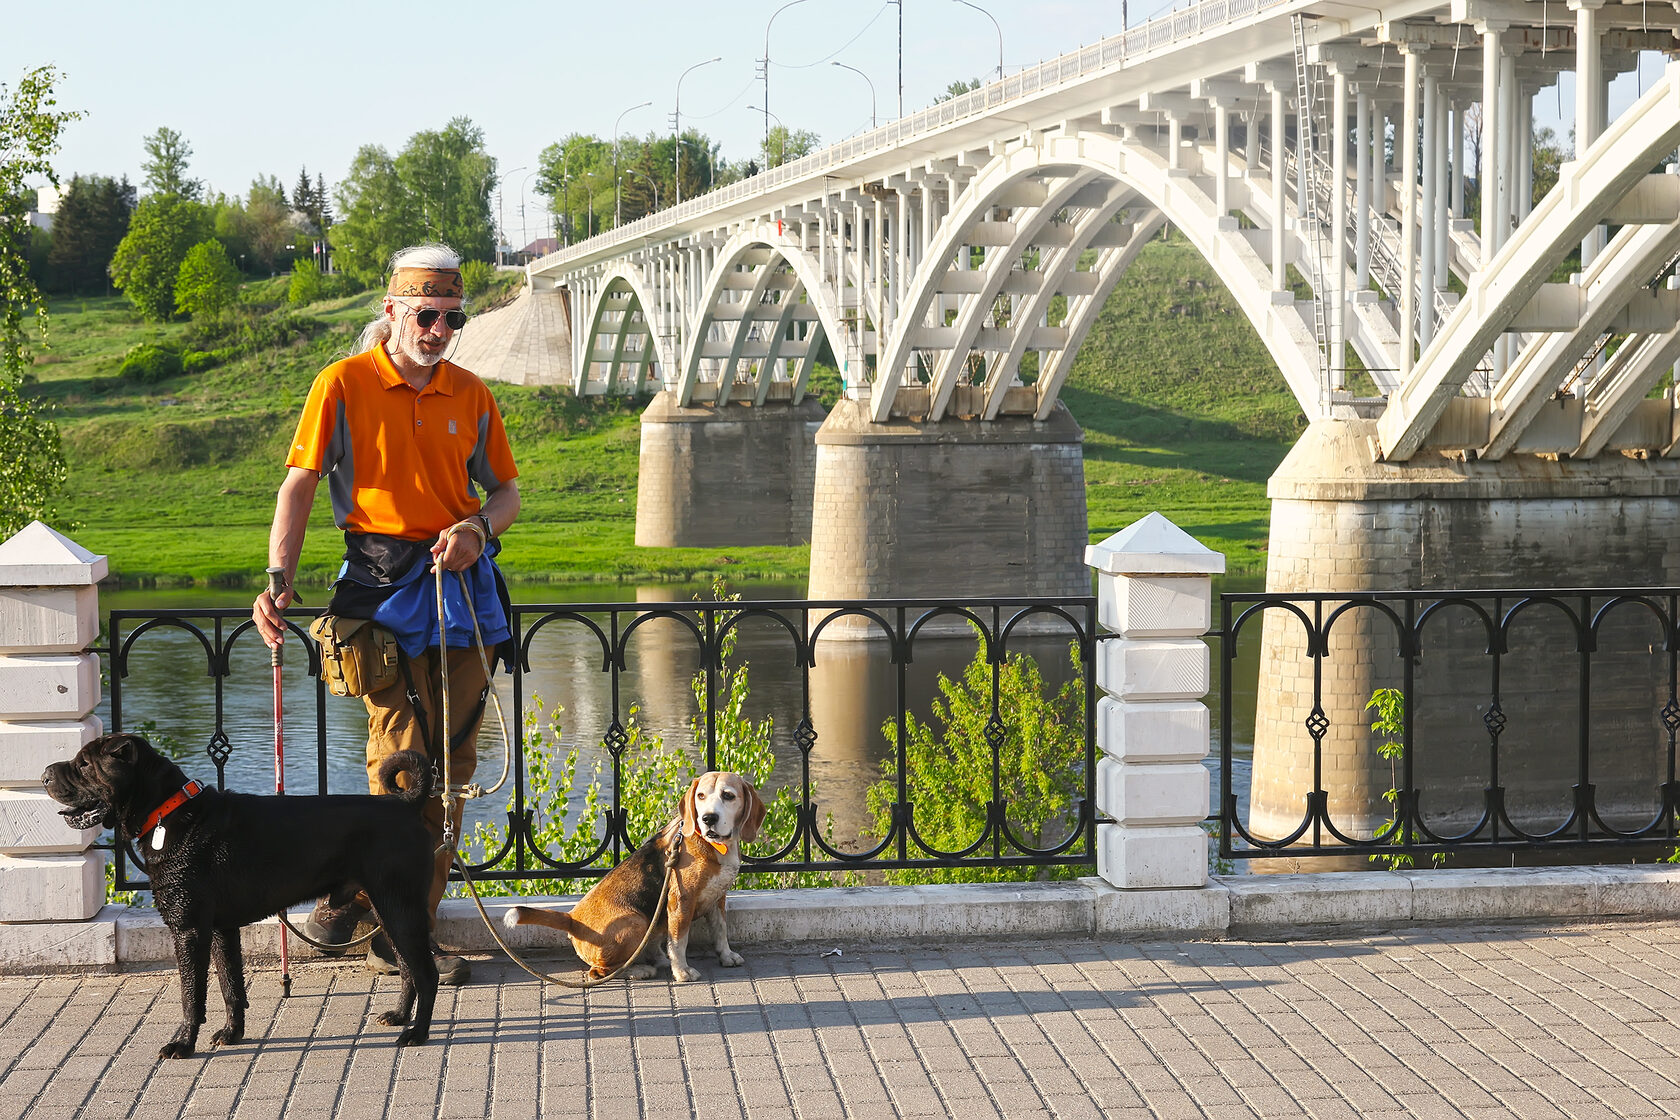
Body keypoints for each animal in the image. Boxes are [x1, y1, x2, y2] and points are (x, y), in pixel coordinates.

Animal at [45, 735, 440, 1061]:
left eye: (84, 764)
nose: (46, 774)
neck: (168, 812)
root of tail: (406, 803)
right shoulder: (222, 928)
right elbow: (229, 985)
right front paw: (233, 1032)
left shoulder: (189, 929)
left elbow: (192, 994)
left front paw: (183, 1043)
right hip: (387, 908)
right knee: (407, 967)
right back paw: (399, 1016)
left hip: (399, 907)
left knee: (426, 972)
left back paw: (417, 1032)